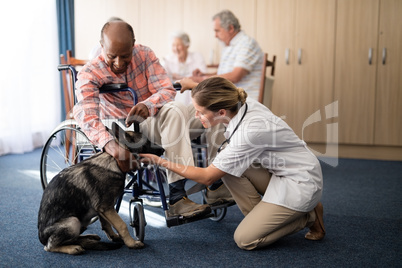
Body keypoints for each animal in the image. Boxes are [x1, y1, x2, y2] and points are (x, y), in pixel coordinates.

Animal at [37, 122, 163, 254]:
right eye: (147, 142)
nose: (163, 150)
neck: (114, 161)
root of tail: (42, 239)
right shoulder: (106, 207)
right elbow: (122, 225)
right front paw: (131, 243)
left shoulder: (103, 209)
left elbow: (107, 224)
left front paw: (114, 236)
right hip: (73, 222)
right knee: (50, 246)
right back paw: (72, 248)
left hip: (82, 221)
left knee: (74, 238)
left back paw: (88, 238)